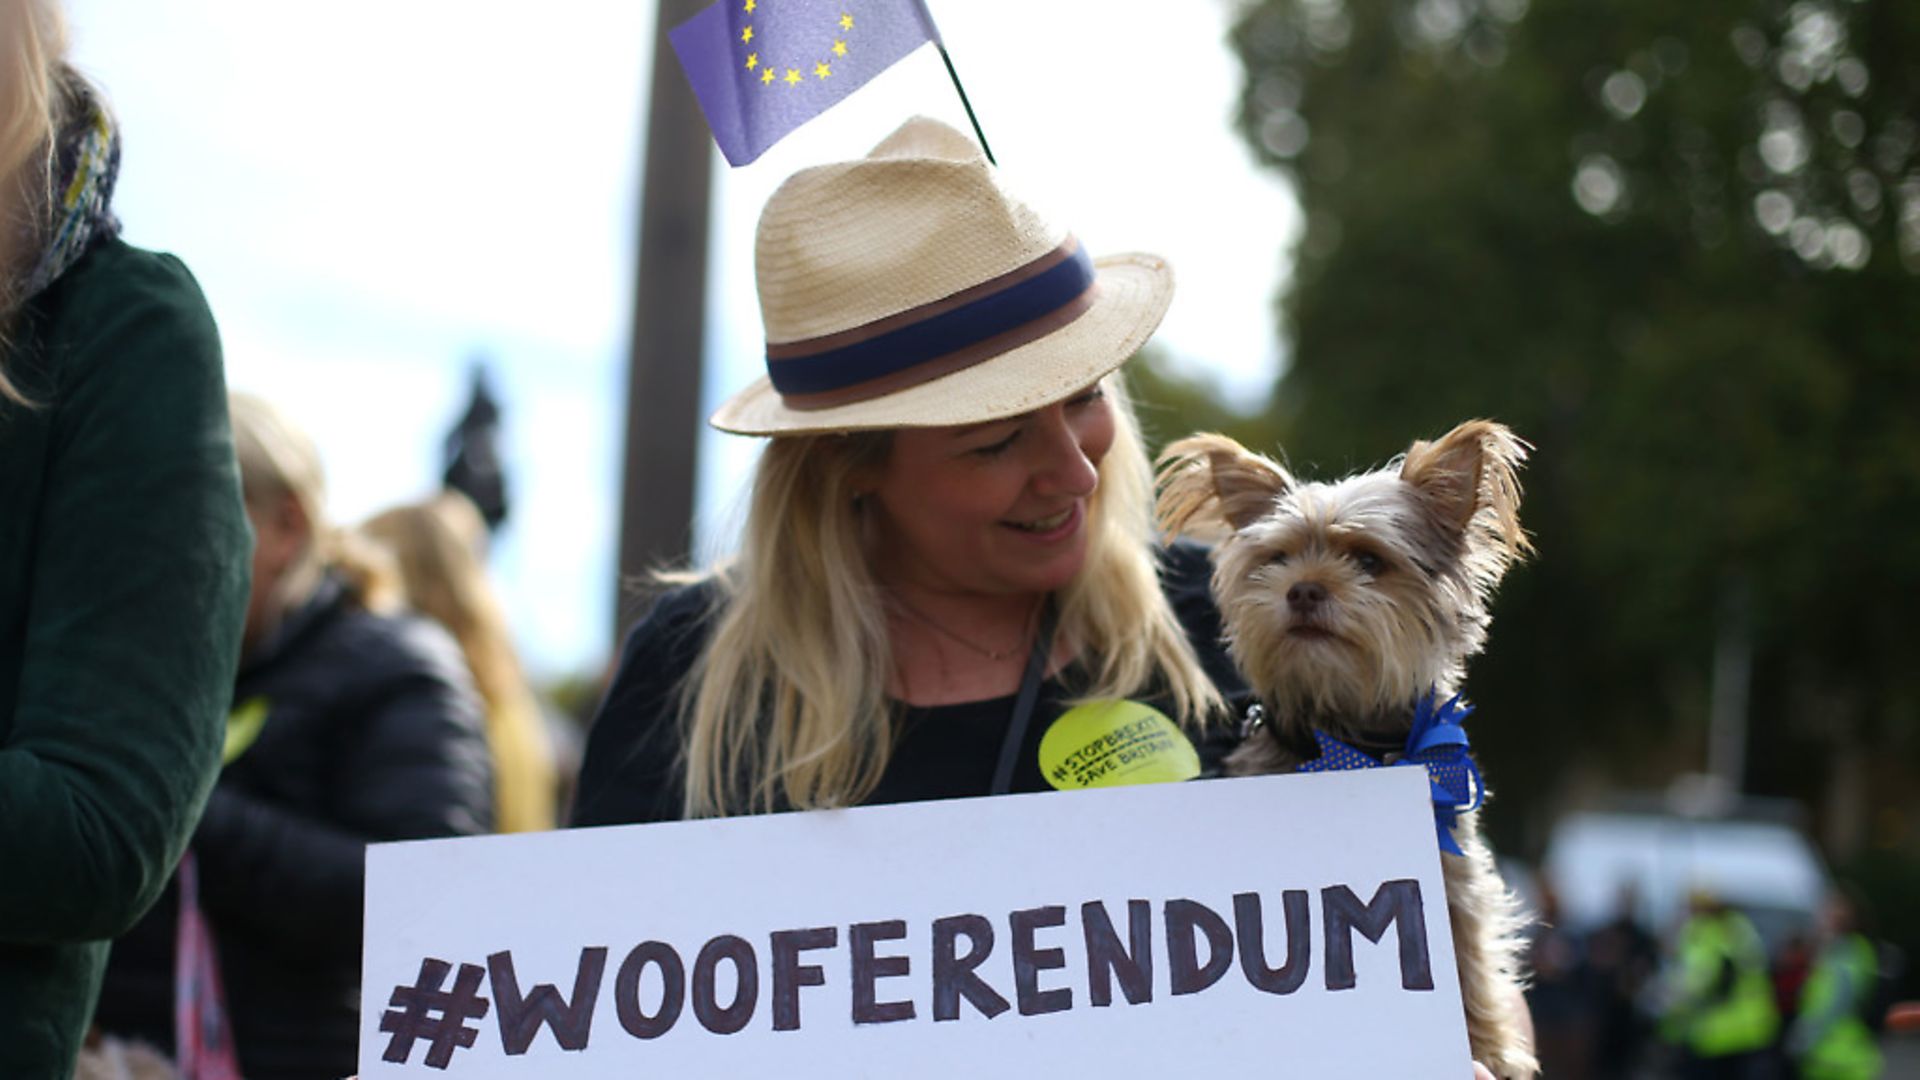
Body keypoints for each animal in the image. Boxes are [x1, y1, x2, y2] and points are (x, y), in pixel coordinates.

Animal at [1152, 417, 1543, 1068]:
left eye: (1368, 559)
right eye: (1277, 558)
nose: (1303, 590)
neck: (1347, 734)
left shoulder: (1456, 877)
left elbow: (1471, 958)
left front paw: (1489, 1050)